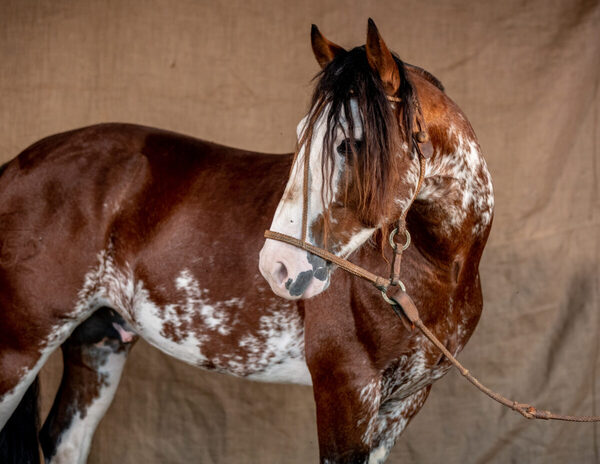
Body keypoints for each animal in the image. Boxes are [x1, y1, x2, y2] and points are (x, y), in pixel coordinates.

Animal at [0, 19, 492, 464]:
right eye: (301, 136)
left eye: (350, 143)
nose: (278, 266)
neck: (442, 269)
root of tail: (16, 165)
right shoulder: (346, 389)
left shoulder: (404, 403)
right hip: (19, 350)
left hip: (99, 342)